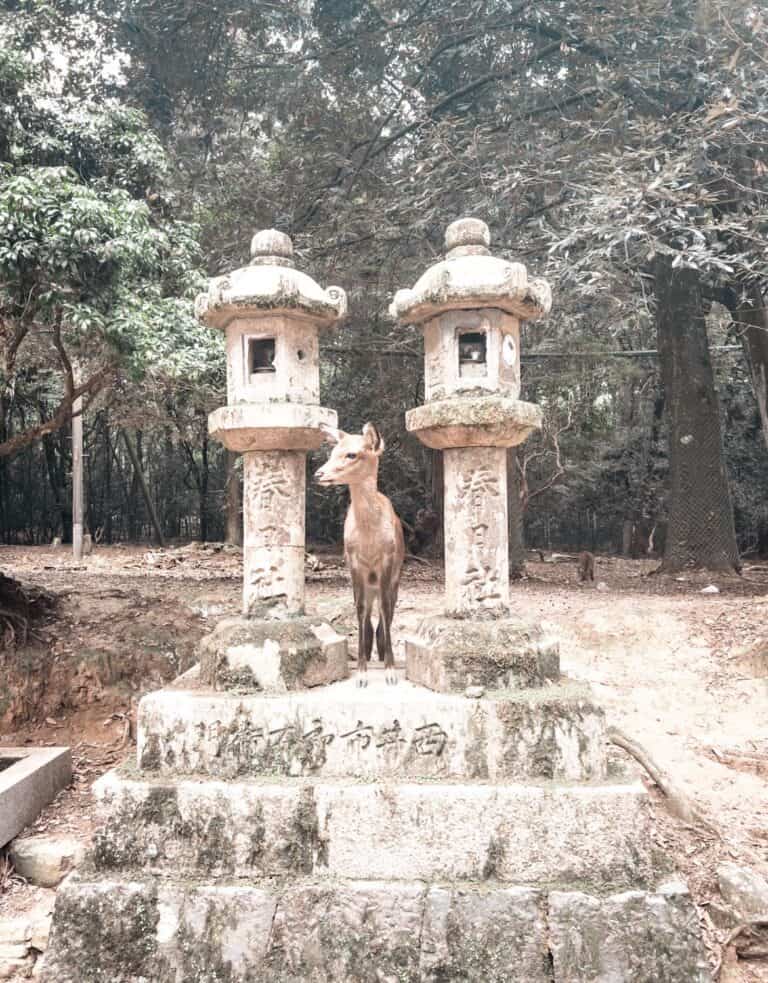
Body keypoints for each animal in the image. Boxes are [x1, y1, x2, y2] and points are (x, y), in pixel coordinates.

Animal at [314, 422, 405, 686]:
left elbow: (385, 609)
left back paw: (383, 653)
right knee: (369, 620)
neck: (369, 540)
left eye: (352, 454)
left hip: (395, 578)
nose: (318, 474)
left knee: (387, 613)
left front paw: (390, 672)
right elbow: (360, 609)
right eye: (332, 451)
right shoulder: (353, 562)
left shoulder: (387, 560)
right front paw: (362, 674)